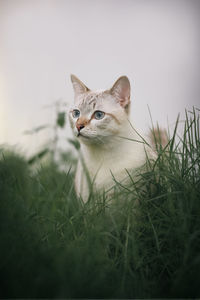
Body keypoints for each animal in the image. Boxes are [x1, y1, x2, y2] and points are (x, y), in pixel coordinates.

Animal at [69, 74, 156, 203]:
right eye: (76, 113)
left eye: (99, 115)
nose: (78, 126)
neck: (102, 155)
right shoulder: (87, 199)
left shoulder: (133, 196)